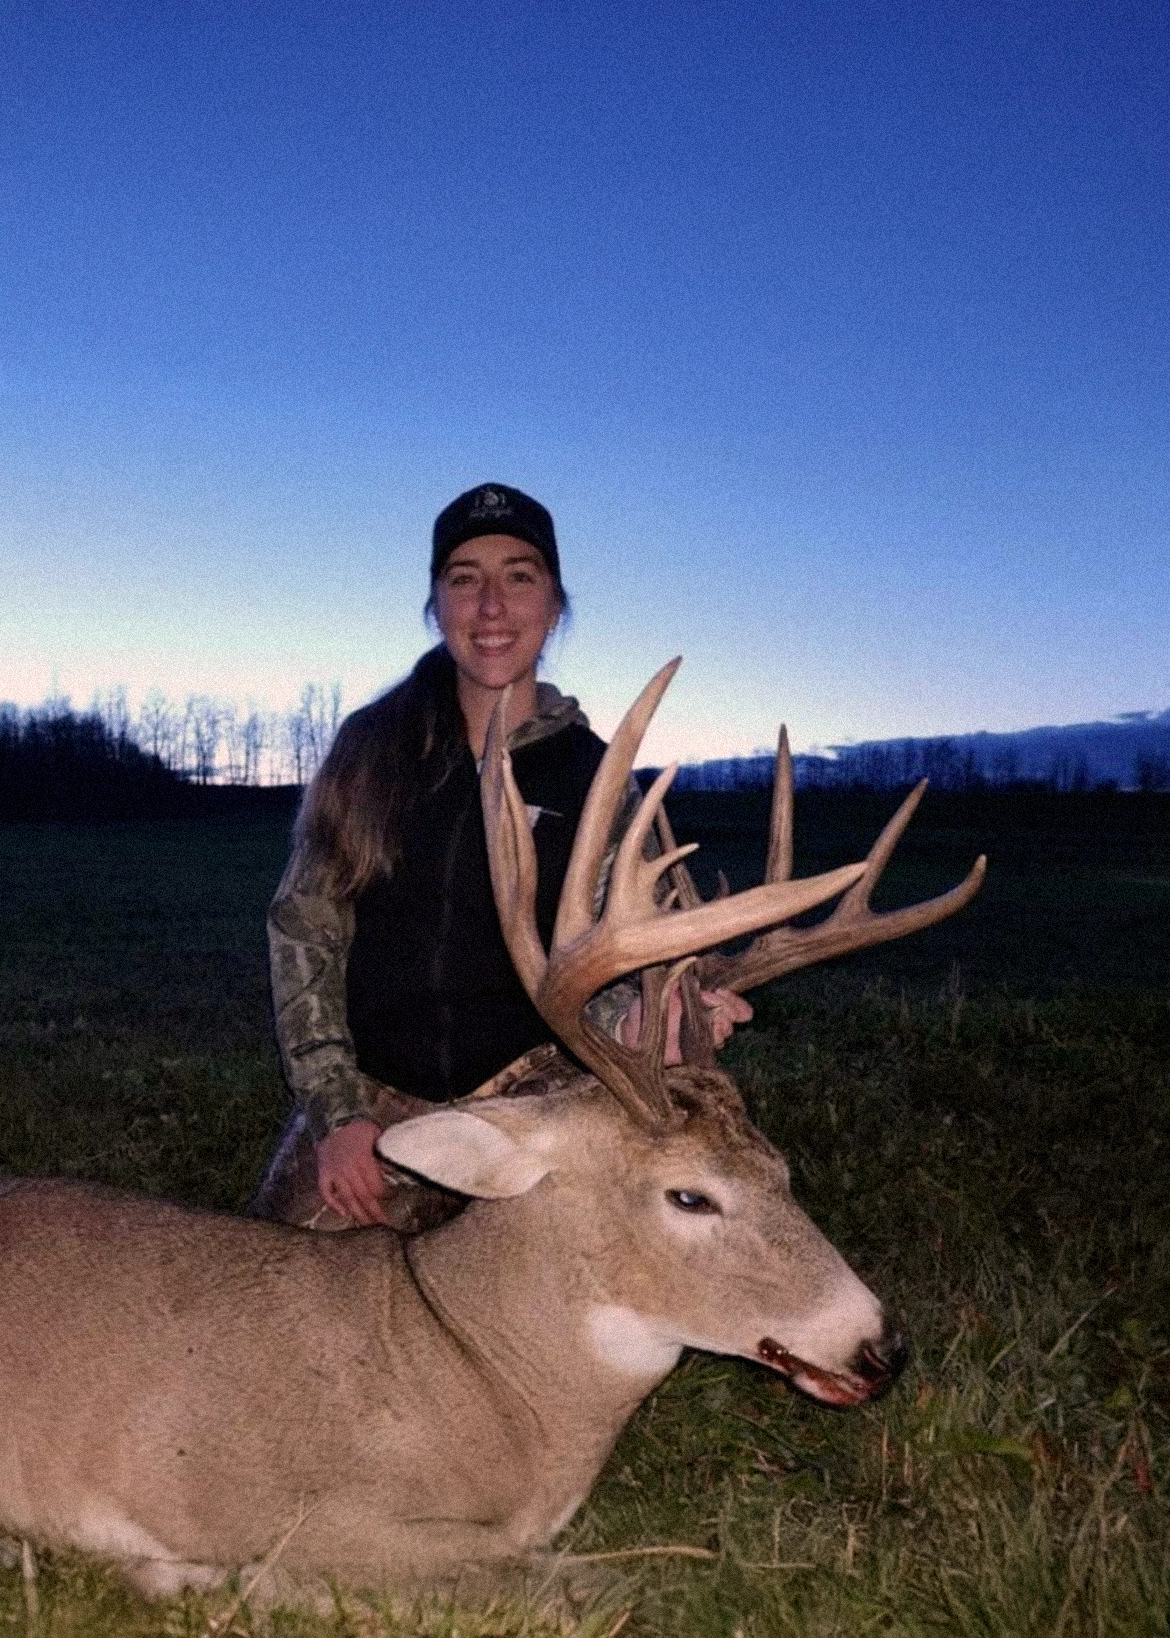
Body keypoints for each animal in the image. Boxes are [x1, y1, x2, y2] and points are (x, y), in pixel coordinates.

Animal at [0, 661, 984, 1603]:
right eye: (689, 1196)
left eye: (782, 1169)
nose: (882, 1347)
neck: (474, 1371)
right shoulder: (300, 1509)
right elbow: (589, 1584)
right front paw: (198, 1577)